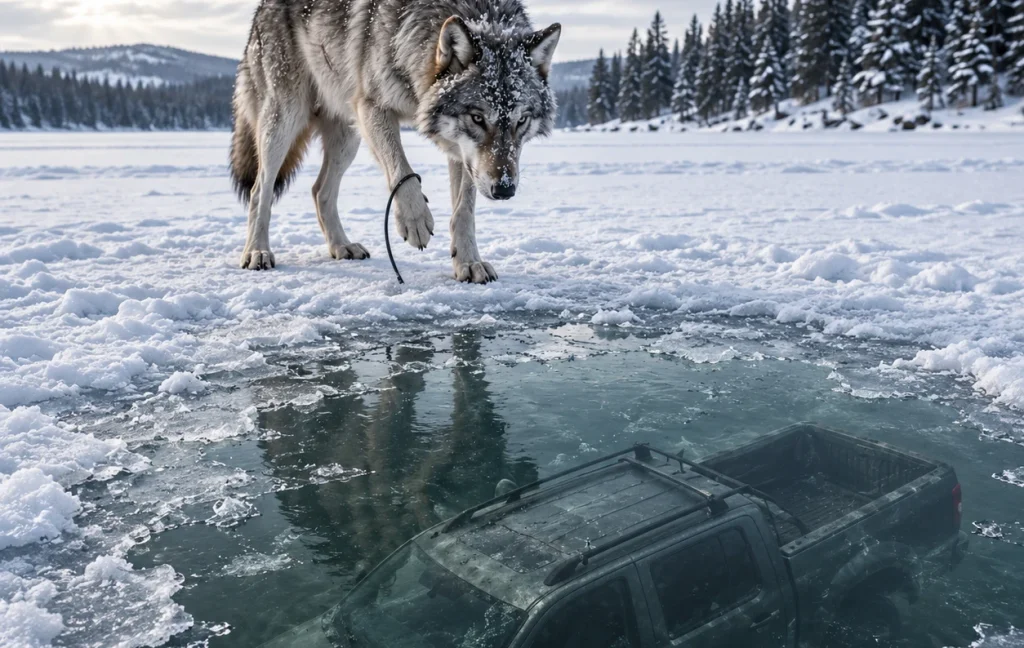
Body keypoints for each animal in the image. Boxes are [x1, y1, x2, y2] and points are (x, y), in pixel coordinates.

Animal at [230, 0, 561, 283]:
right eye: (478, 118)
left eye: (521, 120)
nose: (504, 189)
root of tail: (259, 10)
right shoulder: (373, 108)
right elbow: (401, 168)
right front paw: (415, 221)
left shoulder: (461, 153)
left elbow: (464, 211)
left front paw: (469, 263)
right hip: (285, 119)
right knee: (261, 189)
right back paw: (257, 252)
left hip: (348, 137)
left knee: (320, 190)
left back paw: (341, 246)